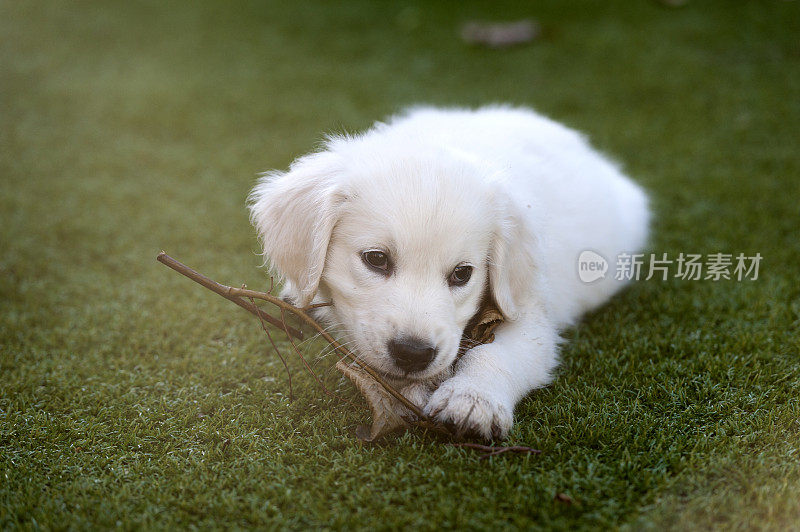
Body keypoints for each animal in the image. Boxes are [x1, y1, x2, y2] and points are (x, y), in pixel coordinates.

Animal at [250, 105, 648, 440]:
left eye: (462, 274)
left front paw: (472, 399)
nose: (413, 354)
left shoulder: (529, 310)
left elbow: (500, 353)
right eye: (376, 259)